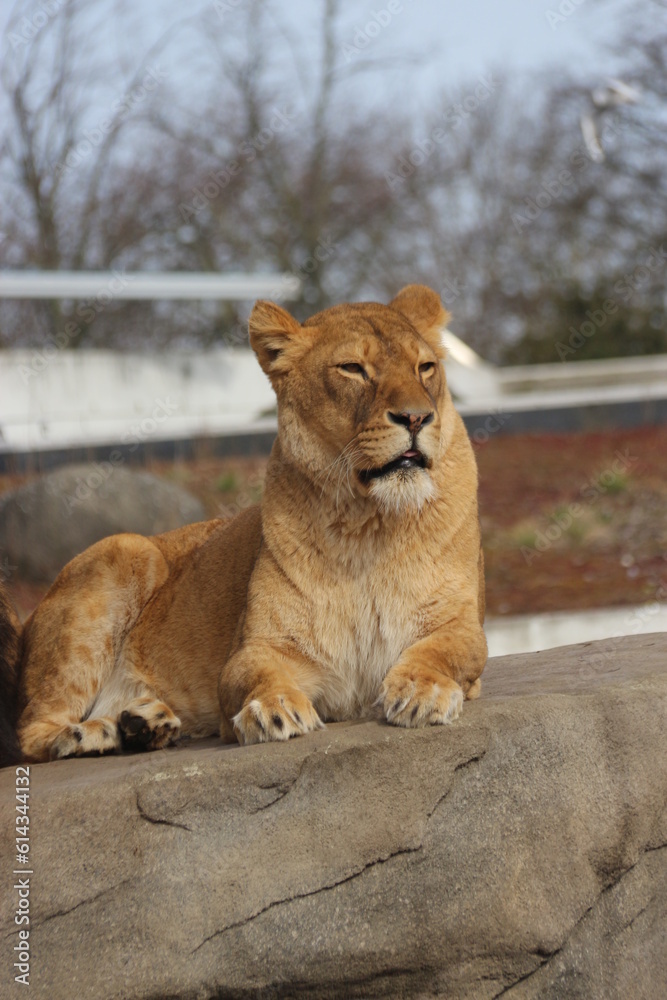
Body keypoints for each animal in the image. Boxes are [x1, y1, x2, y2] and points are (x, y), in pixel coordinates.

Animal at [12, 284, 487, 762]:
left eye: (425, 367)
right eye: (353, 368)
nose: (416, 417)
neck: (368, 524)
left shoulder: (463, 623)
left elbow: (450, 649)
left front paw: (422, 690)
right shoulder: (258, 647)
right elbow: (255, 673)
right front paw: (273, 708)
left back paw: (143, 725)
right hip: (124, 550)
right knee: (30, 732)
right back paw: (92, 734)